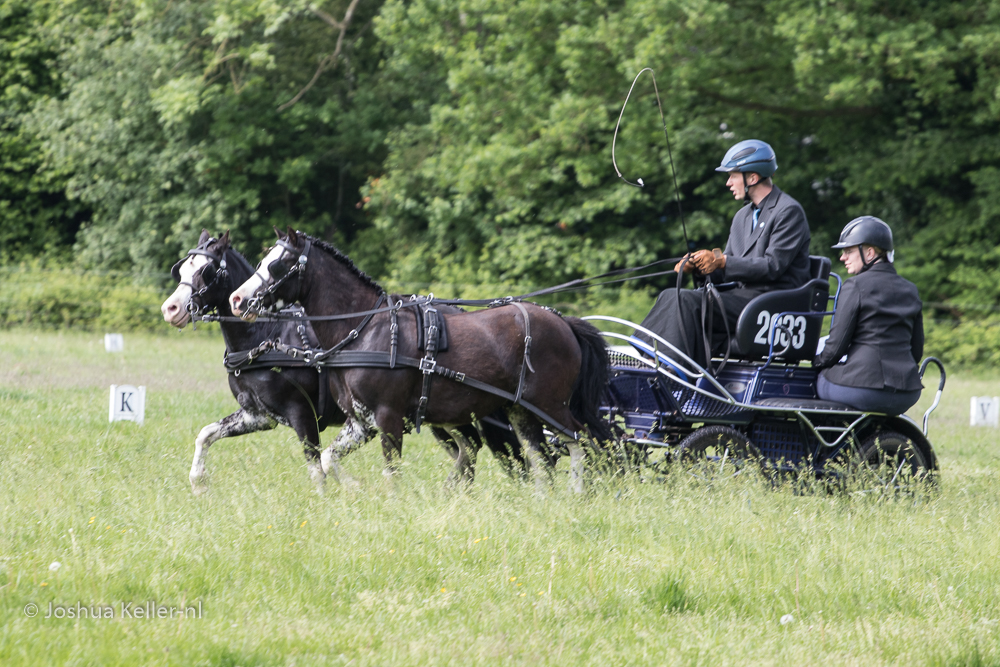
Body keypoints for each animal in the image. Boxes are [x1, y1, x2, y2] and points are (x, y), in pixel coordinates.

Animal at [158, 232, 524, 494]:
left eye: (206, 271)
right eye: (182, 268)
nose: (170, 309)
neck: (265, 336)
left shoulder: (302, 414)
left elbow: (316, 468)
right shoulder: (258, 416)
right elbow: (205, 434)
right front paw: (198, 483)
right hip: (444, 417)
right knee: (469, 448)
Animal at [230, 227, 612, 494]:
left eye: (277, 264)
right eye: (261, 261)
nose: (236, 299)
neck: (364, 329)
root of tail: (564, 322)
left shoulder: (387, 417)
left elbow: (391, 472)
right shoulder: (361, 422)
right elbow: (327, 459)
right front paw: (353, 487)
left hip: (551, 407)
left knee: (583, 442)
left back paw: (576, 494)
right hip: (521, 412)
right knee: (541, 457)